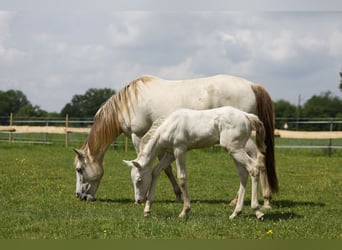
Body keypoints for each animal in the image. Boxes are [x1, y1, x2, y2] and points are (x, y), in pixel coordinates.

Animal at [73, 73, 278, 205]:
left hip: (242, 140)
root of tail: (251, 85)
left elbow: (149, 165)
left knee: (257, 159)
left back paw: (258, 200)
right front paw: (177, 195)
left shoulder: (138, 136)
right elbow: (165, 167)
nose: (79, 196)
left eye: (79, 169)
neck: (129, 103)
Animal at [123, 106, 268, 220]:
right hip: (235, 151)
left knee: (253, 168)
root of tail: (246, 115)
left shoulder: (179, 150)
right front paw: (147, 210)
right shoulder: (170, 154)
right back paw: (235, 213)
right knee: (243, 174)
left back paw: (258, 211)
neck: (168, 126)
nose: (138, 200)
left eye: (139, 180)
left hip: (235, 149)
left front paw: (184, 211)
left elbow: (182, 178)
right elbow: (156, 172)